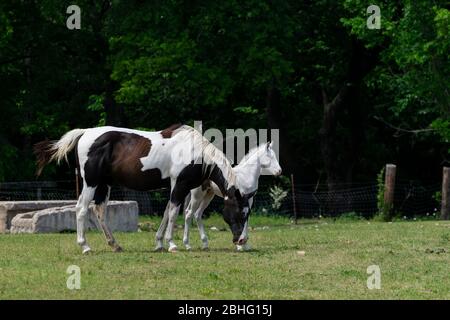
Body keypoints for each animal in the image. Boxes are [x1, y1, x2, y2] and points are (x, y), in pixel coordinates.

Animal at [33, 124, 248, 252]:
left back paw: (115, 245)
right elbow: (173, 213)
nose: (241, 240)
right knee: (81, 209)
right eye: (239, 212)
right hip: (91, 183)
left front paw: (159, 243)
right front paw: (171, 244)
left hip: (103, 185)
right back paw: (85, 246)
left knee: (99, 210)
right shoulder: (179, 185)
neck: (194, 151)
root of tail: (85, 132)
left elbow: (167, 212)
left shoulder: (175, 188)